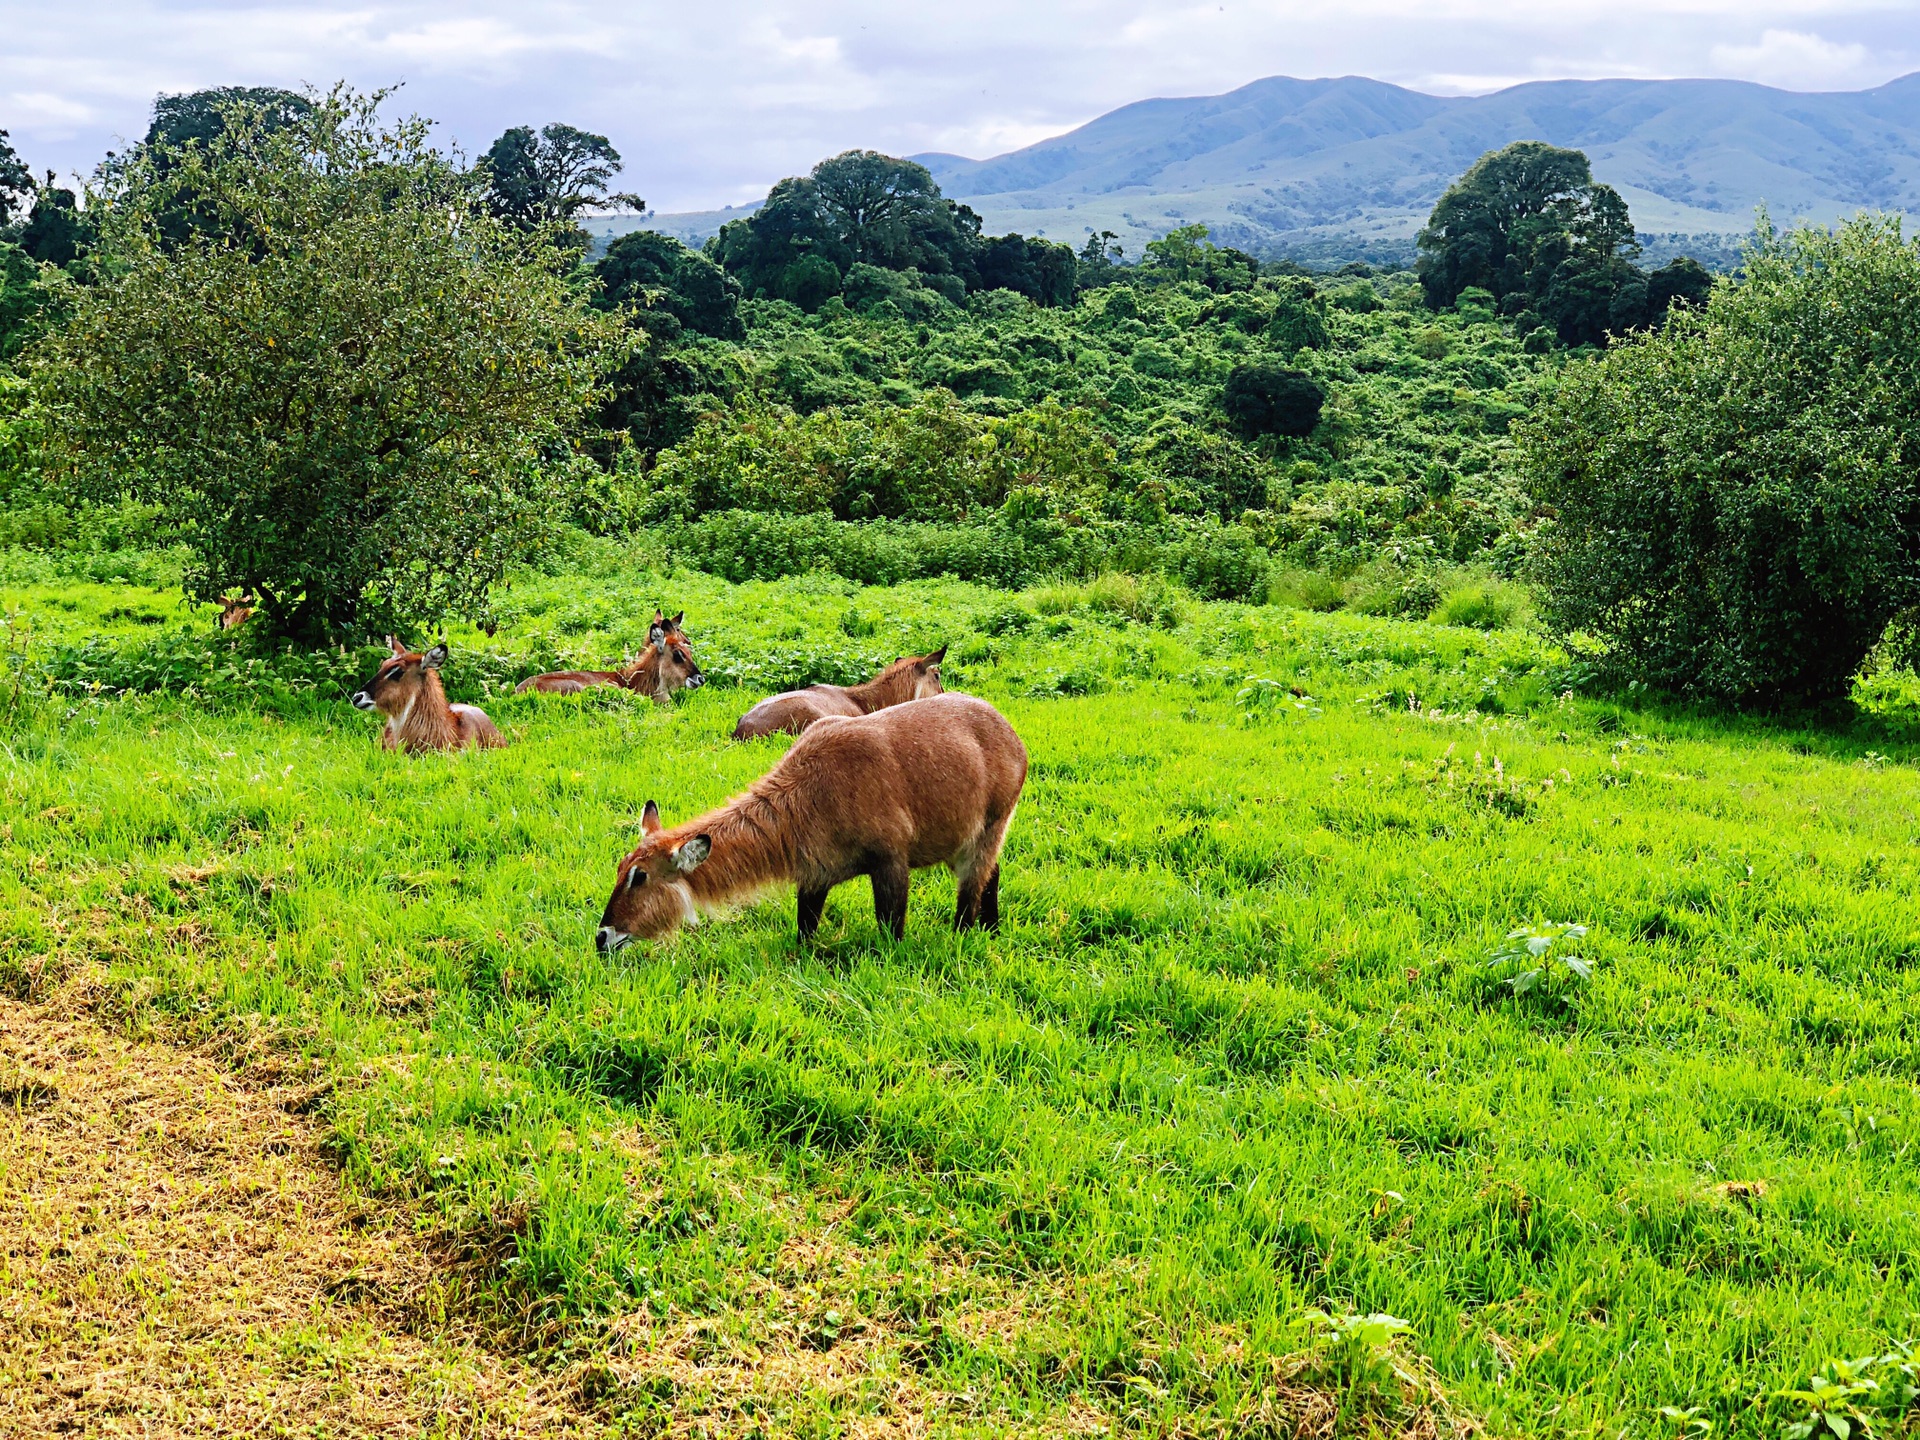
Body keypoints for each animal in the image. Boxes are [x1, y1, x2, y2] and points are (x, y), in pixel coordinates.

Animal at [595, 695, 1029, 952]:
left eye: (639, 876)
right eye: (619, 868)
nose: (602, 936)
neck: (809, 793)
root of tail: (1008, 729)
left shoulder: (891, 861)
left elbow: (891, 927)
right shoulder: (816, 874)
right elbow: (805, 926)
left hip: (988, 828)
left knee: (971, 892)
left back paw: (967, 936)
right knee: (993, 873)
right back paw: (992, 929)